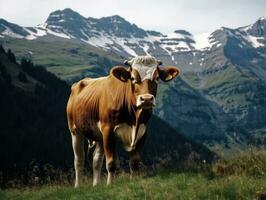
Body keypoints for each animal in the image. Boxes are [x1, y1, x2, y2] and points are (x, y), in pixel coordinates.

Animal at [66, 55, 180, 187]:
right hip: (75, 130)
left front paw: (134, 181)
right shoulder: (108, 130)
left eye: (157, 78)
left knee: (96, 160)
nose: (146, 99)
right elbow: (111, 163)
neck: (134, 119)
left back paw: (96, 185)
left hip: (99, 136)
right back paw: (77, 186)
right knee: (79, 160)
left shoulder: (143, 131)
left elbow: (134, 162)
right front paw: (109, 185)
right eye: (133, 78)